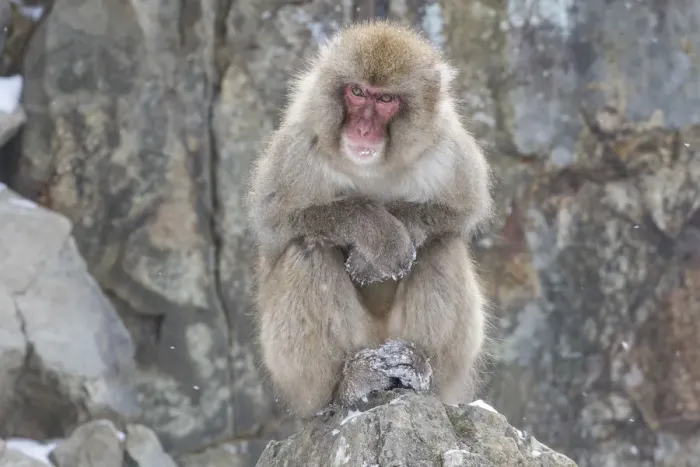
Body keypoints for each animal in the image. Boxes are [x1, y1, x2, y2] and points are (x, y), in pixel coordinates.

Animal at [246, 20, 493, 417]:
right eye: (357, 91)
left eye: (385, 100)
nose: (363, 129)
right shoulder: (298, 148)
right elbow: (275, 223)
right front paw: (379, 234)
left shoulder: (447, 149)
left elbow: (463, 213)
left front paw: (390, 238)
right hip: (306, 373)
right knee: (308, 249)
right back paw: (348, 384)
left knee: (442, 245)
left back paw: (417, 368)